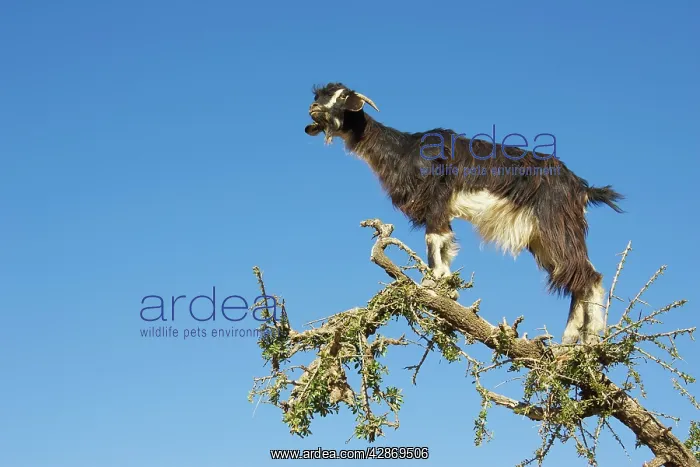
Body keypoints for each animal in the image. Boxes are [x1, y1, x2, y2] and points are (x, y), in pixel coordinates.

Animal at [304, 82, 624, 345]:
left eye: (342, 96)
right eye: (318, 96)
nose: (314, 109)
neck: (404, 151)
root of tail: (581, 188)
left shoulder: (436, 199)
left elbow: (434, 240)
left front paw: (434, 283)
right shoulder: (442, 210)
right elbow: (445, 245)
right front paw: (448, 287)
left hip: (556, 225)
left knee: (590, 277)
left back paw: (590, 341)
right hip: (542, 238)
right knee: (575, 277)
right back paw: (569, 341)